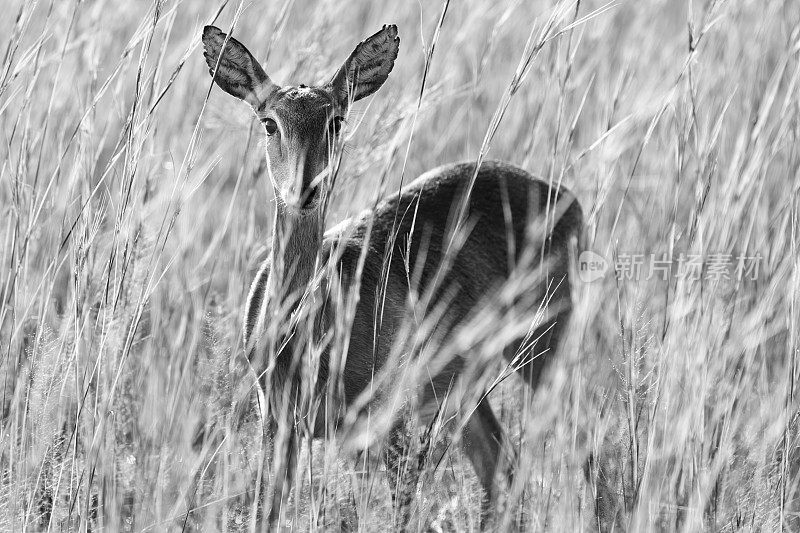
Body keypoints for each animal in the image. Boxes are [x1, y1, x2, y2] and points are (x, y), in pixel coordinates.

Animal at [202, 21, 580, 528]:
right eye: (269, 122)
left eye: (335, 120)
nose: (306, 188)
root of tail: (566, 197)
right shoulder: (277, 423)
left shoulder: (381, 421)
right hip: (467, 389)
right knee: (502, 466)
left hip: (542, 348)